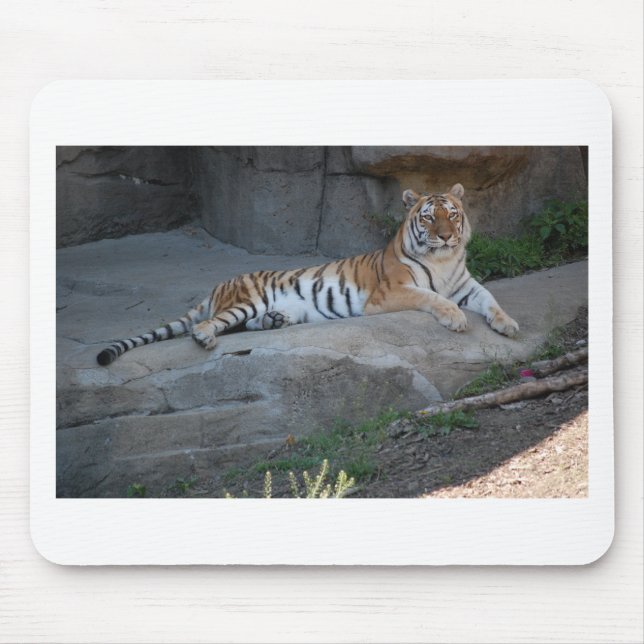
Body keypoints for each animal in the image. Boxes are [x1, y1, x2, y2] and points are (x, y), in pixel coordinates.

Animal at [96, 183, 519, 366]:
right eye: (430, 218)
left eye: (453, 214)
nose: (446, 236)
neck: (444, 261)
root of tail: (218, 285)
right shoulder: (391, 293)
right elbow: (433, 298)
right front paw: (456, 319)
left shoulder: (467, 285)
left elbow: (492, 300)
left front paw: (508, 325)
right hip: (244, 302)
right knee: (207, 325)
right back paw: (206, 338)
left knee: (245, 325)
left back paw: (275, 321)